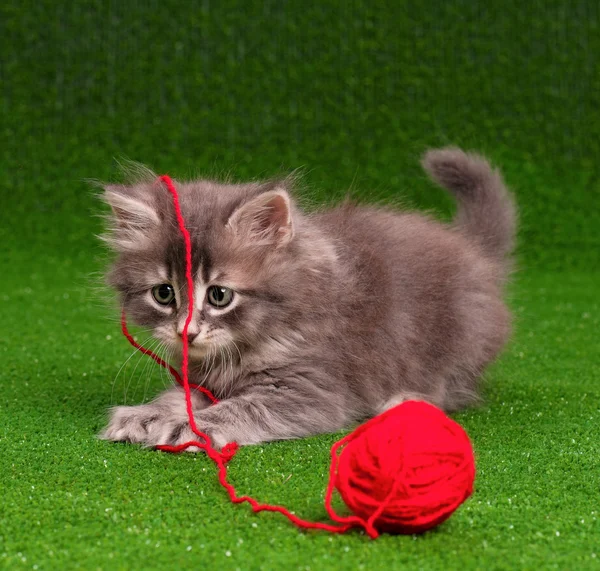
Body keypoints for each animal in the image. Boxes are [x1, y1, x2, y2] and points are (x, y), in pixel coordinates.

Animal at [98, 147, 516, 452]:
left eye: (219, 295)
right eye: (163, 293)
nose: (187, 333)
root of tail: (474, 251)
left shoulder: (310, 388)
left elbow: (241, 406)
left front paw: (189, 424)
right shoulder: (201, 379)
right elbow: (175, 395)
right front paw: (145, 415)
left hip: (458, 338)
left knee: (451, 387)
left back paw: (404, 401)